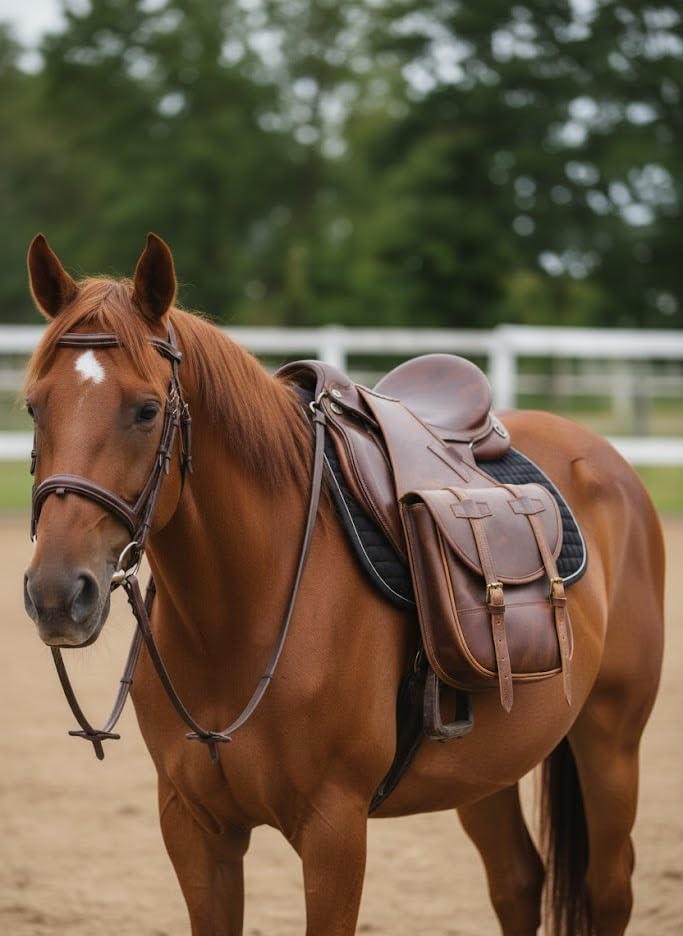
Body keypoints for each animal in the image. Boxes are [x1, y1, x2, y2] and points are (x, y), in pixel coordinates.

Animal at [22, 232, 664, 936]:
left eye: (146, 410)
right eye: (33, 406)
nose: (57, 594)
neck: (243, 612)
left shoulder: (334, 831)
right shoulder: (194, 829)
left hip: (611, 744)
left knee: (610, 890)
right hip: (485, 771)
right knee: (518, 882)